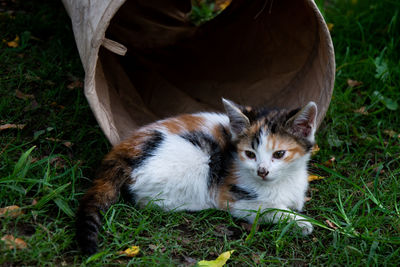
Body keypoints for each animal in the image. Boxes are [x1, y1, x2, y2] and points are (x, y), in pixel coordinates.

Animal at [76, 98, 318, 255]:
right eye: (250, 154)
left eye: (279, 154)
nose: (262, 170)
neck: (282, 181)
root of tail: (122, 151)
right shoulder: (232, 197)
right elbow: (268, 208)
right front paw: (301, 223)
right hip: (198, 159)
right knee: (147, 200)